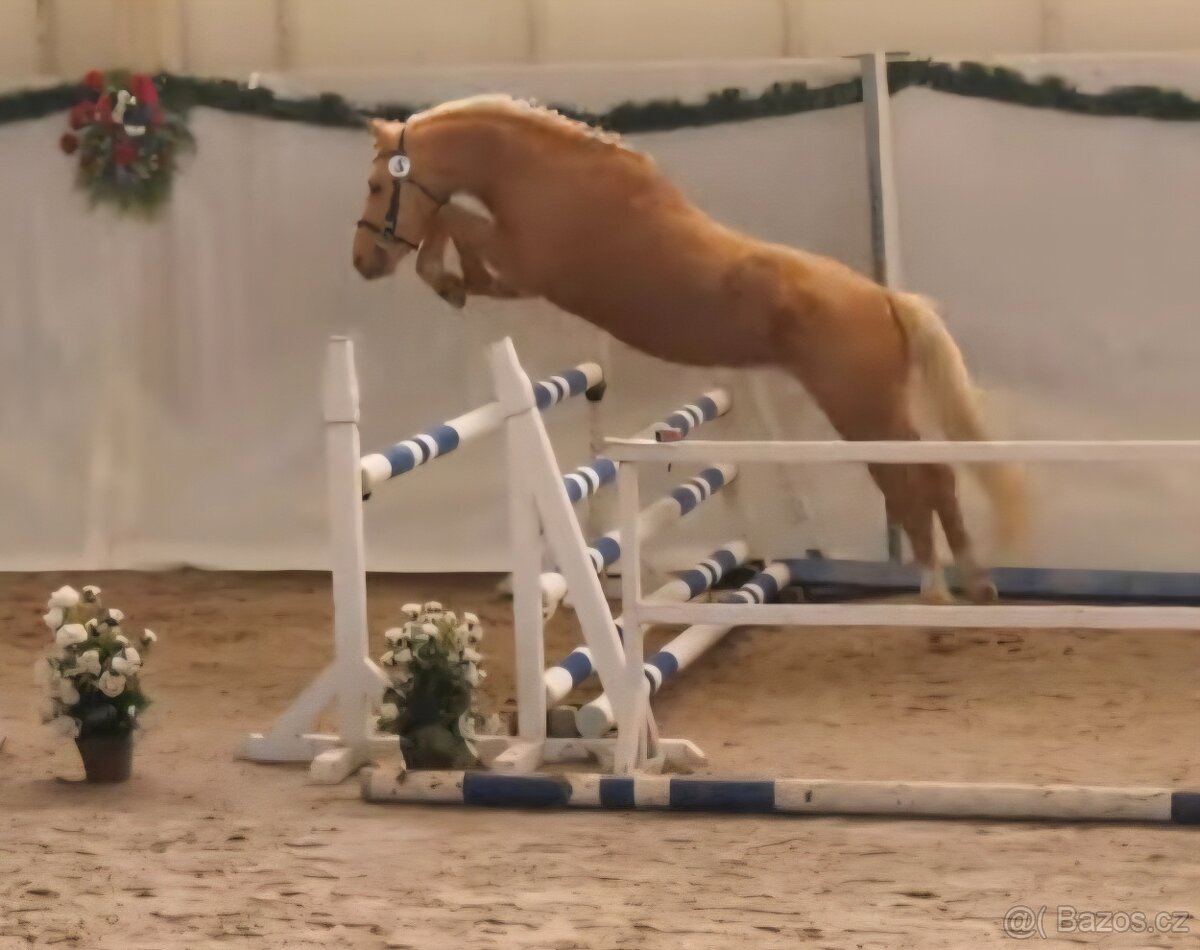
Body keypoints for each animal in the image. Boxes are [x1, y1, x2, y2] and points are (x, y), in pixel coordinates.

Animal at [351, 94, 1027, 604]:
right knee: (936, 475)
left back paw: (937, 589)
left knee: (917, 478)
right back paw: (975, 584)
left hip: (862, 410)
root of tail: (885, 298)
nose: (364, 263)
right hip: (875, 408)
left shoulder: (523, 269)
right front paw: (449, 281)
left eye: (378, 184)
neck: (543, 175)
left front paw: (446, 281)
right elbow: (454, 230)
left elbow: (451, 224)